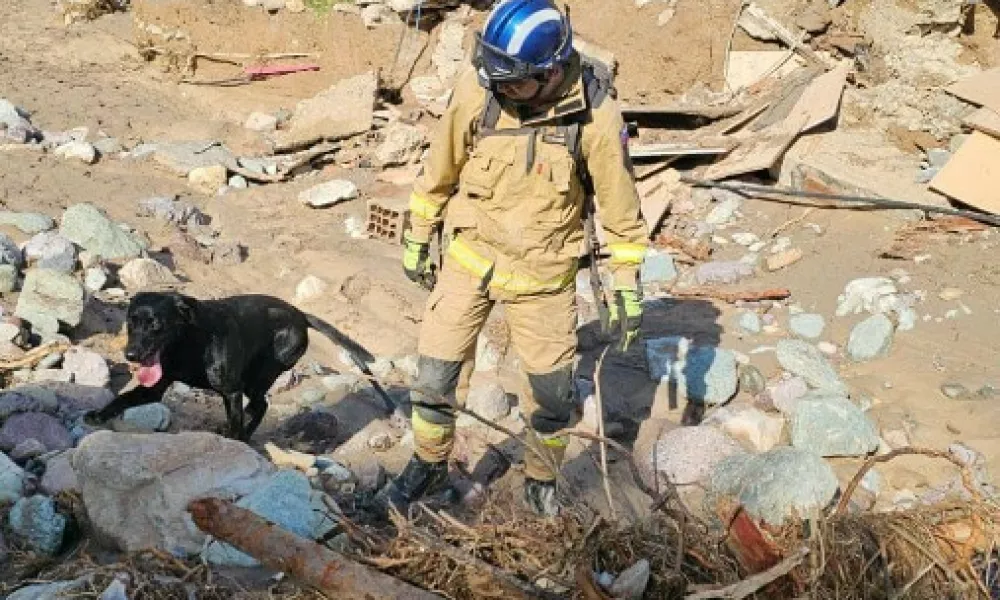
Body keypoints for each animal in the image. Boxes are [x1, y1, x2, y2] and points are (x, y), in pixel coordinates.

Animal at [91, 292, 378, 440]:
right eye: (131, 322)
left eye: (155, 325)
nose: (131, 354)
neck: (189, 343)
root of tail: (300, 315)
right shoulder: (155, 388)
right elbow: (124, 398)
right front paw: (98, 414)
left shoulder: (232, 390)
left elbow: (237, 419)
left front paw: (233, 438)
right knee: (256, 407)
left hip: (259, 376)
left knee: (260, 406)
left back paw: (243, 435)